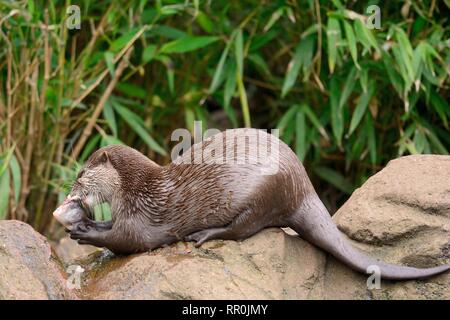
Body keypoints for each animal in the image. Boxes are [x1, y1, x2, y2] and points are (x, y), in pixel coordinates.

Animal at [53, 129, 450, 278]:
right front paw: (84, 223)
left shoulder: (143, 219)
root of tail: (302, 187)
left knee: (244, 229)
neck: (138, 190)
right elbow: (113, 230)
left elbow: (128, 241)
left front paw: (85, 231)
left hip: (262, 192)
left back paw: (205, 235)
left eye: (81, 172)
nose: (70, 189)